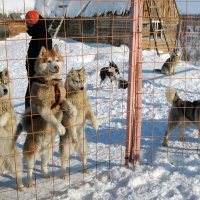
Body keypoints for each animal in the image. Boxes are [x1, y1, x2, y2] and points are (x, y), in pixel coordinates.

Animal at [14, 44, 77, 187]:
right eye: (49, 61)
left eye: (57, 60)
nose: (56, 67)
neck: (51, 83)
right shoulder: (43, 108)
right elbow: (53, 119)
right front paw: (61, 128)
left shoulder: (61, 100)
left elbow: (68, 103)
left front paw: (73, 110)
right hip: (31, 153)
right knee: (30, 169)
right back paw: (30, 182)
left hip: (48, 151)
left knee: (43, 165)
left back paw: (46, 174)